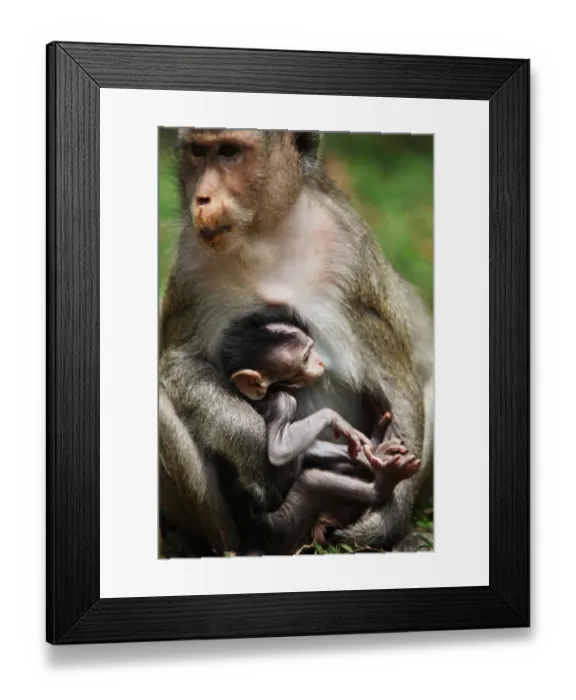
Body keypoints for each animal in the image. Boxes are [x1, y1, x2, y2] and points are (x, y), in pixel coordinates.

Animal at [216, 307, 421, 553]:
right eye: (305, 357)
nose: (322, 362)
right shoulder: (283, 402)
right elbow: (279, 450)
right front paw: (334, 418)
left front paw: (371, 450)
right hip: (281, 529)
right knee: (312, 482)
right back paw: (381, 485)